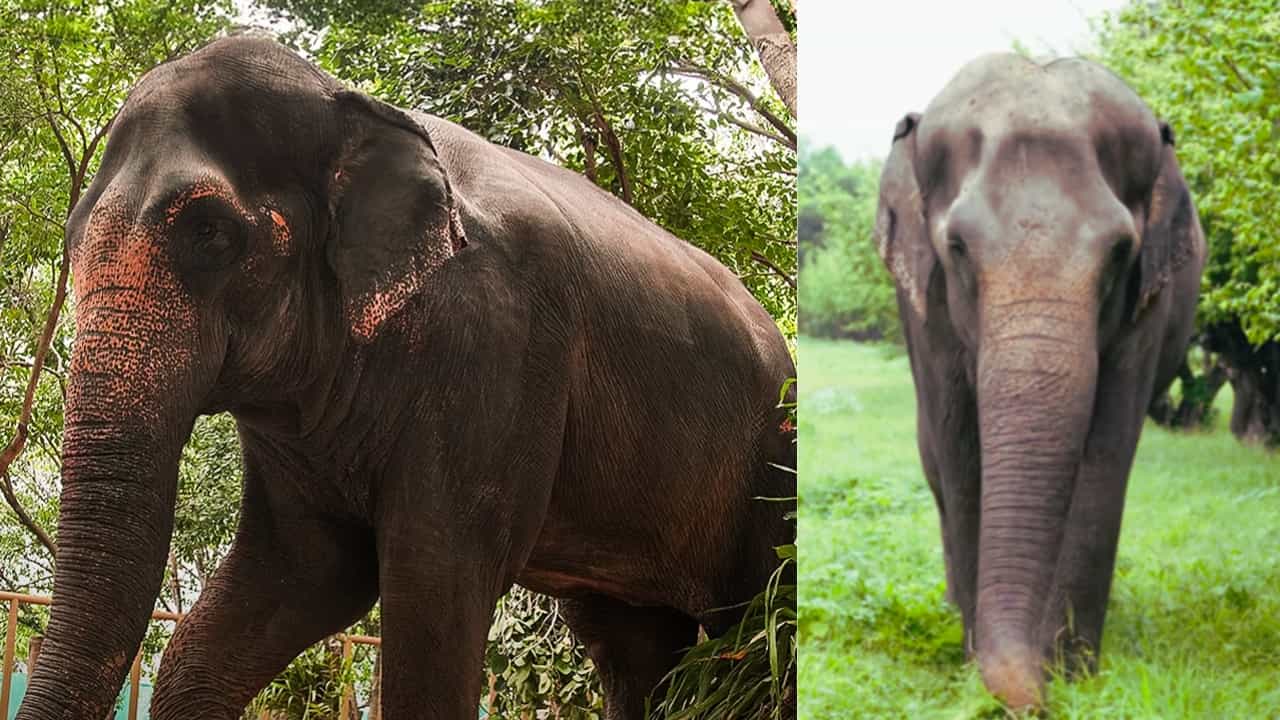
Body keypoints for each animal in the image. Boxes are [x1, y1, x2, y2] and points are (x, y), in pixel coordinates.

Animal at [17, 35, 796, 720]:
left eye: (209, 231)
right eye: (71, 238)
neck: (357, 107)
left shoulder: (499, 337)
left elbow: (433, 579)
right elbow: (305, 571)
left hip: (774, 462)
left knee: (762, 622)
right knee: (634, 649)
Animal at [874, 54, 1205, 708]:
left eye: (1120, 252)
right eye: (957, 246)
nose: (1036, 698)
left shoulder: (1147, 305)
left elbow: (1105, 458)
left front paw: (1074, 673)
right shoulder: (923, 306)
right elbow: (960, 451)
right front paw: (974, 662)